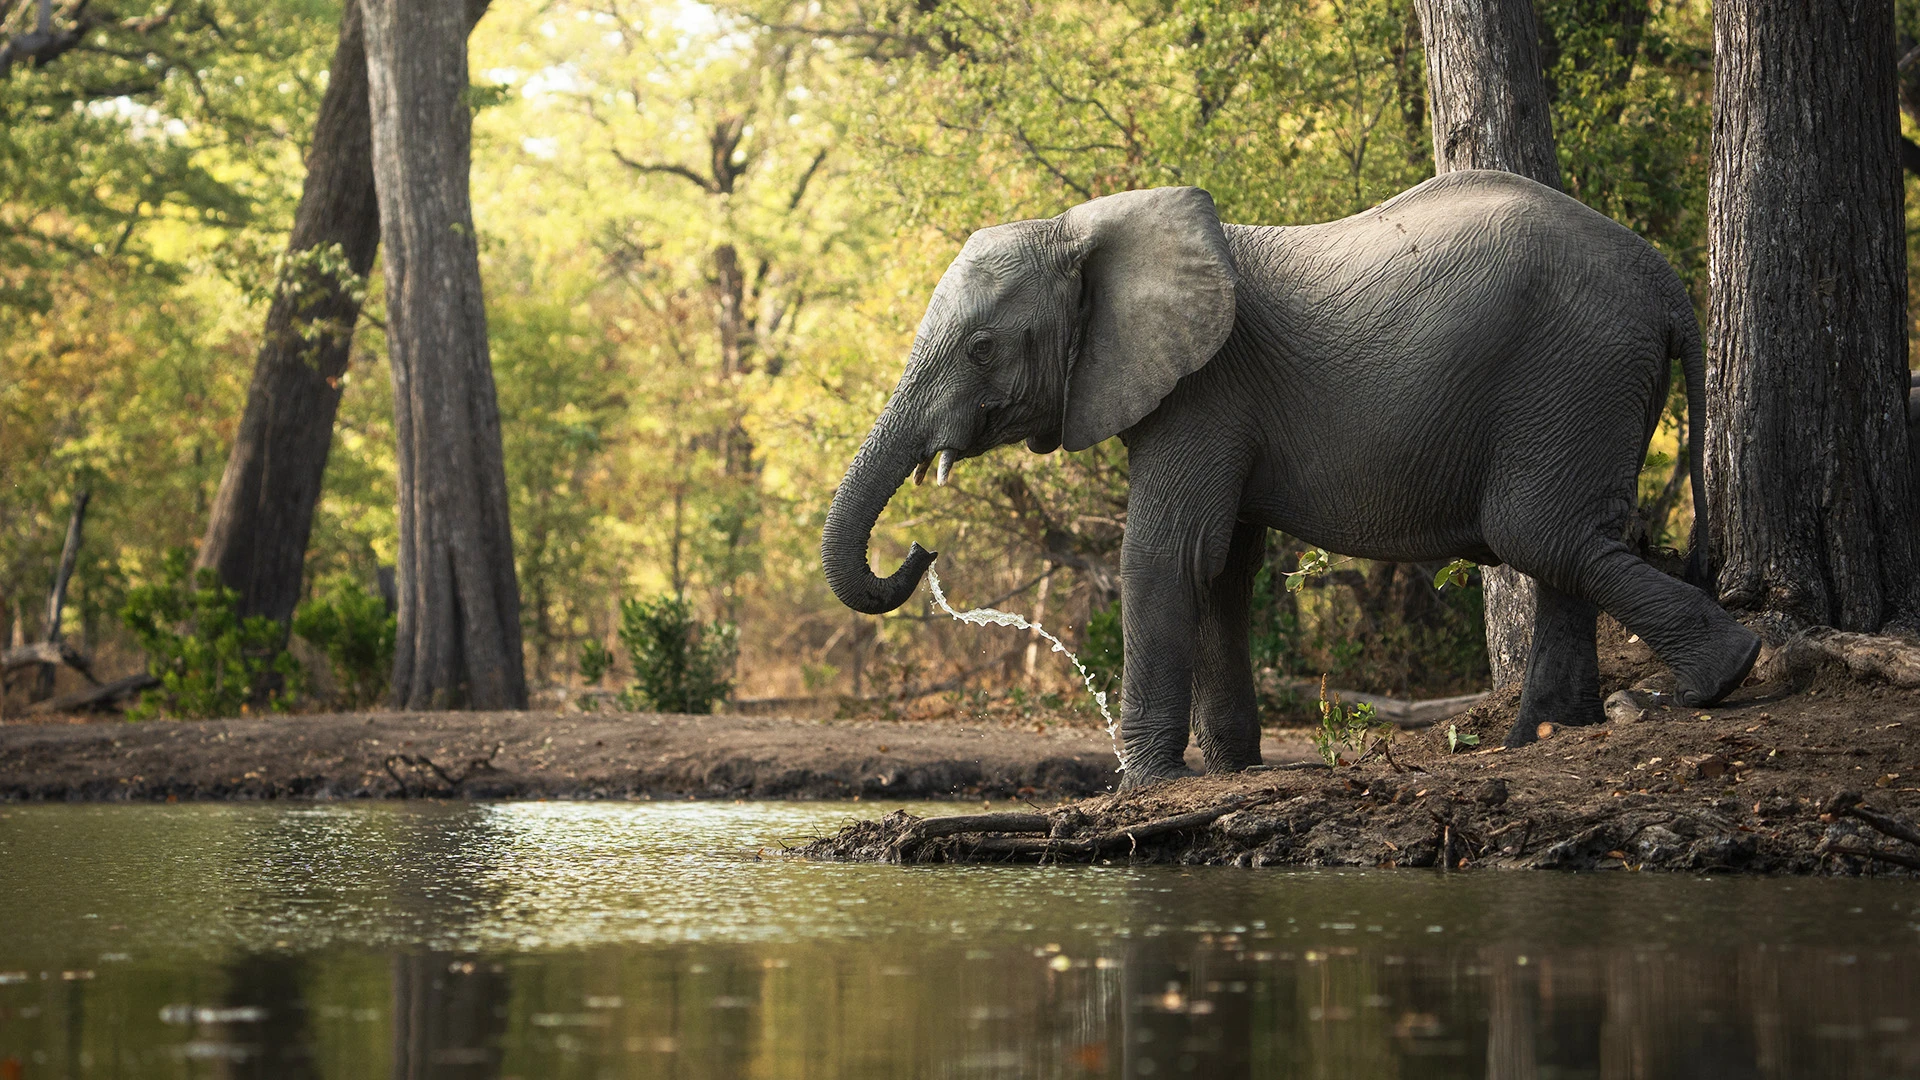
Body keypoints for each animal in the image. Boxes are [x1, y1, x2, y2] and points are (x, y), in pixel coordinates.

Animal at [821, 169, 1762, 789]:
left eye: (982, 349)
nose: (922, 550)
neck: (1087, 227)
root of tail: (1669, 285)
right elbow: (1222, 569)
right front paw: (1232, 770)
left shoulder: (1206, 388)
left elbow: (1168, 557)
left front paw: (1145, 789)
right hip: (1583, 385)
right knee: (1563, 544)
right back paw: (1544, 738)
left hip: (1571, 370)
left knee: (1542, 534)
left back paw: (1716, 680)